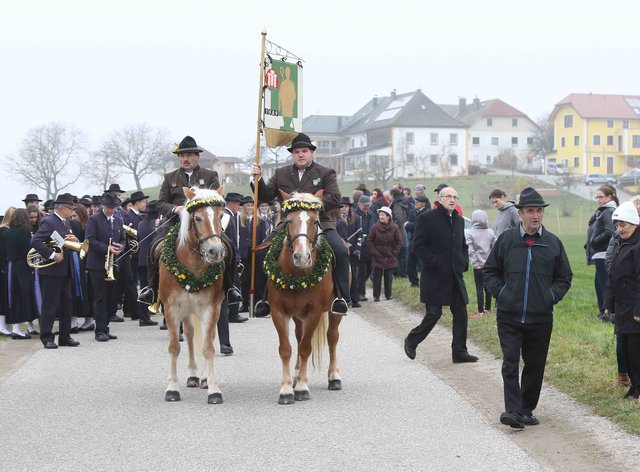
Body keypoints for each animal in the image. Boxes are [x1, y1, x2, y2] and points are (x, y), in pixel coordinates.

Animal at [159, 186, 229, 404]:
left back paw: (204, 378)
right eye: (197, 218)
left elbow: (208, 348)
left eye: (221, 215)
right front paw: (172, 388)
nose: (215, 251)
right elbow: (174, 347)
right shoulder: (171, 309)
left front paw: (213, 389)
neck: (193, 266)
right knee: (189, 335)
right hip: (186, 311)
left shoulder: (210, 308)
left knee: (207, 336)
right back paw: (192, 375)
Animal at [264, 190, 342, 404]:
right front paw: (286, 389)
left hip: (333, 312)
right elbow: (286, 348)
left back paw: (334, 377)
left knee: (332, 337)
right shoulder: (278, 312)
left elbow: (306, 347)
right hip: (298, 315)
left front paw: (302, 388)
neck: (296, 274)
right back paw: (297, 374)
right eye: (289, 221)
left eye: (315, 221)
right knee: (298, 337)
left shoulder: (314, 312)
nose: (302, 257)